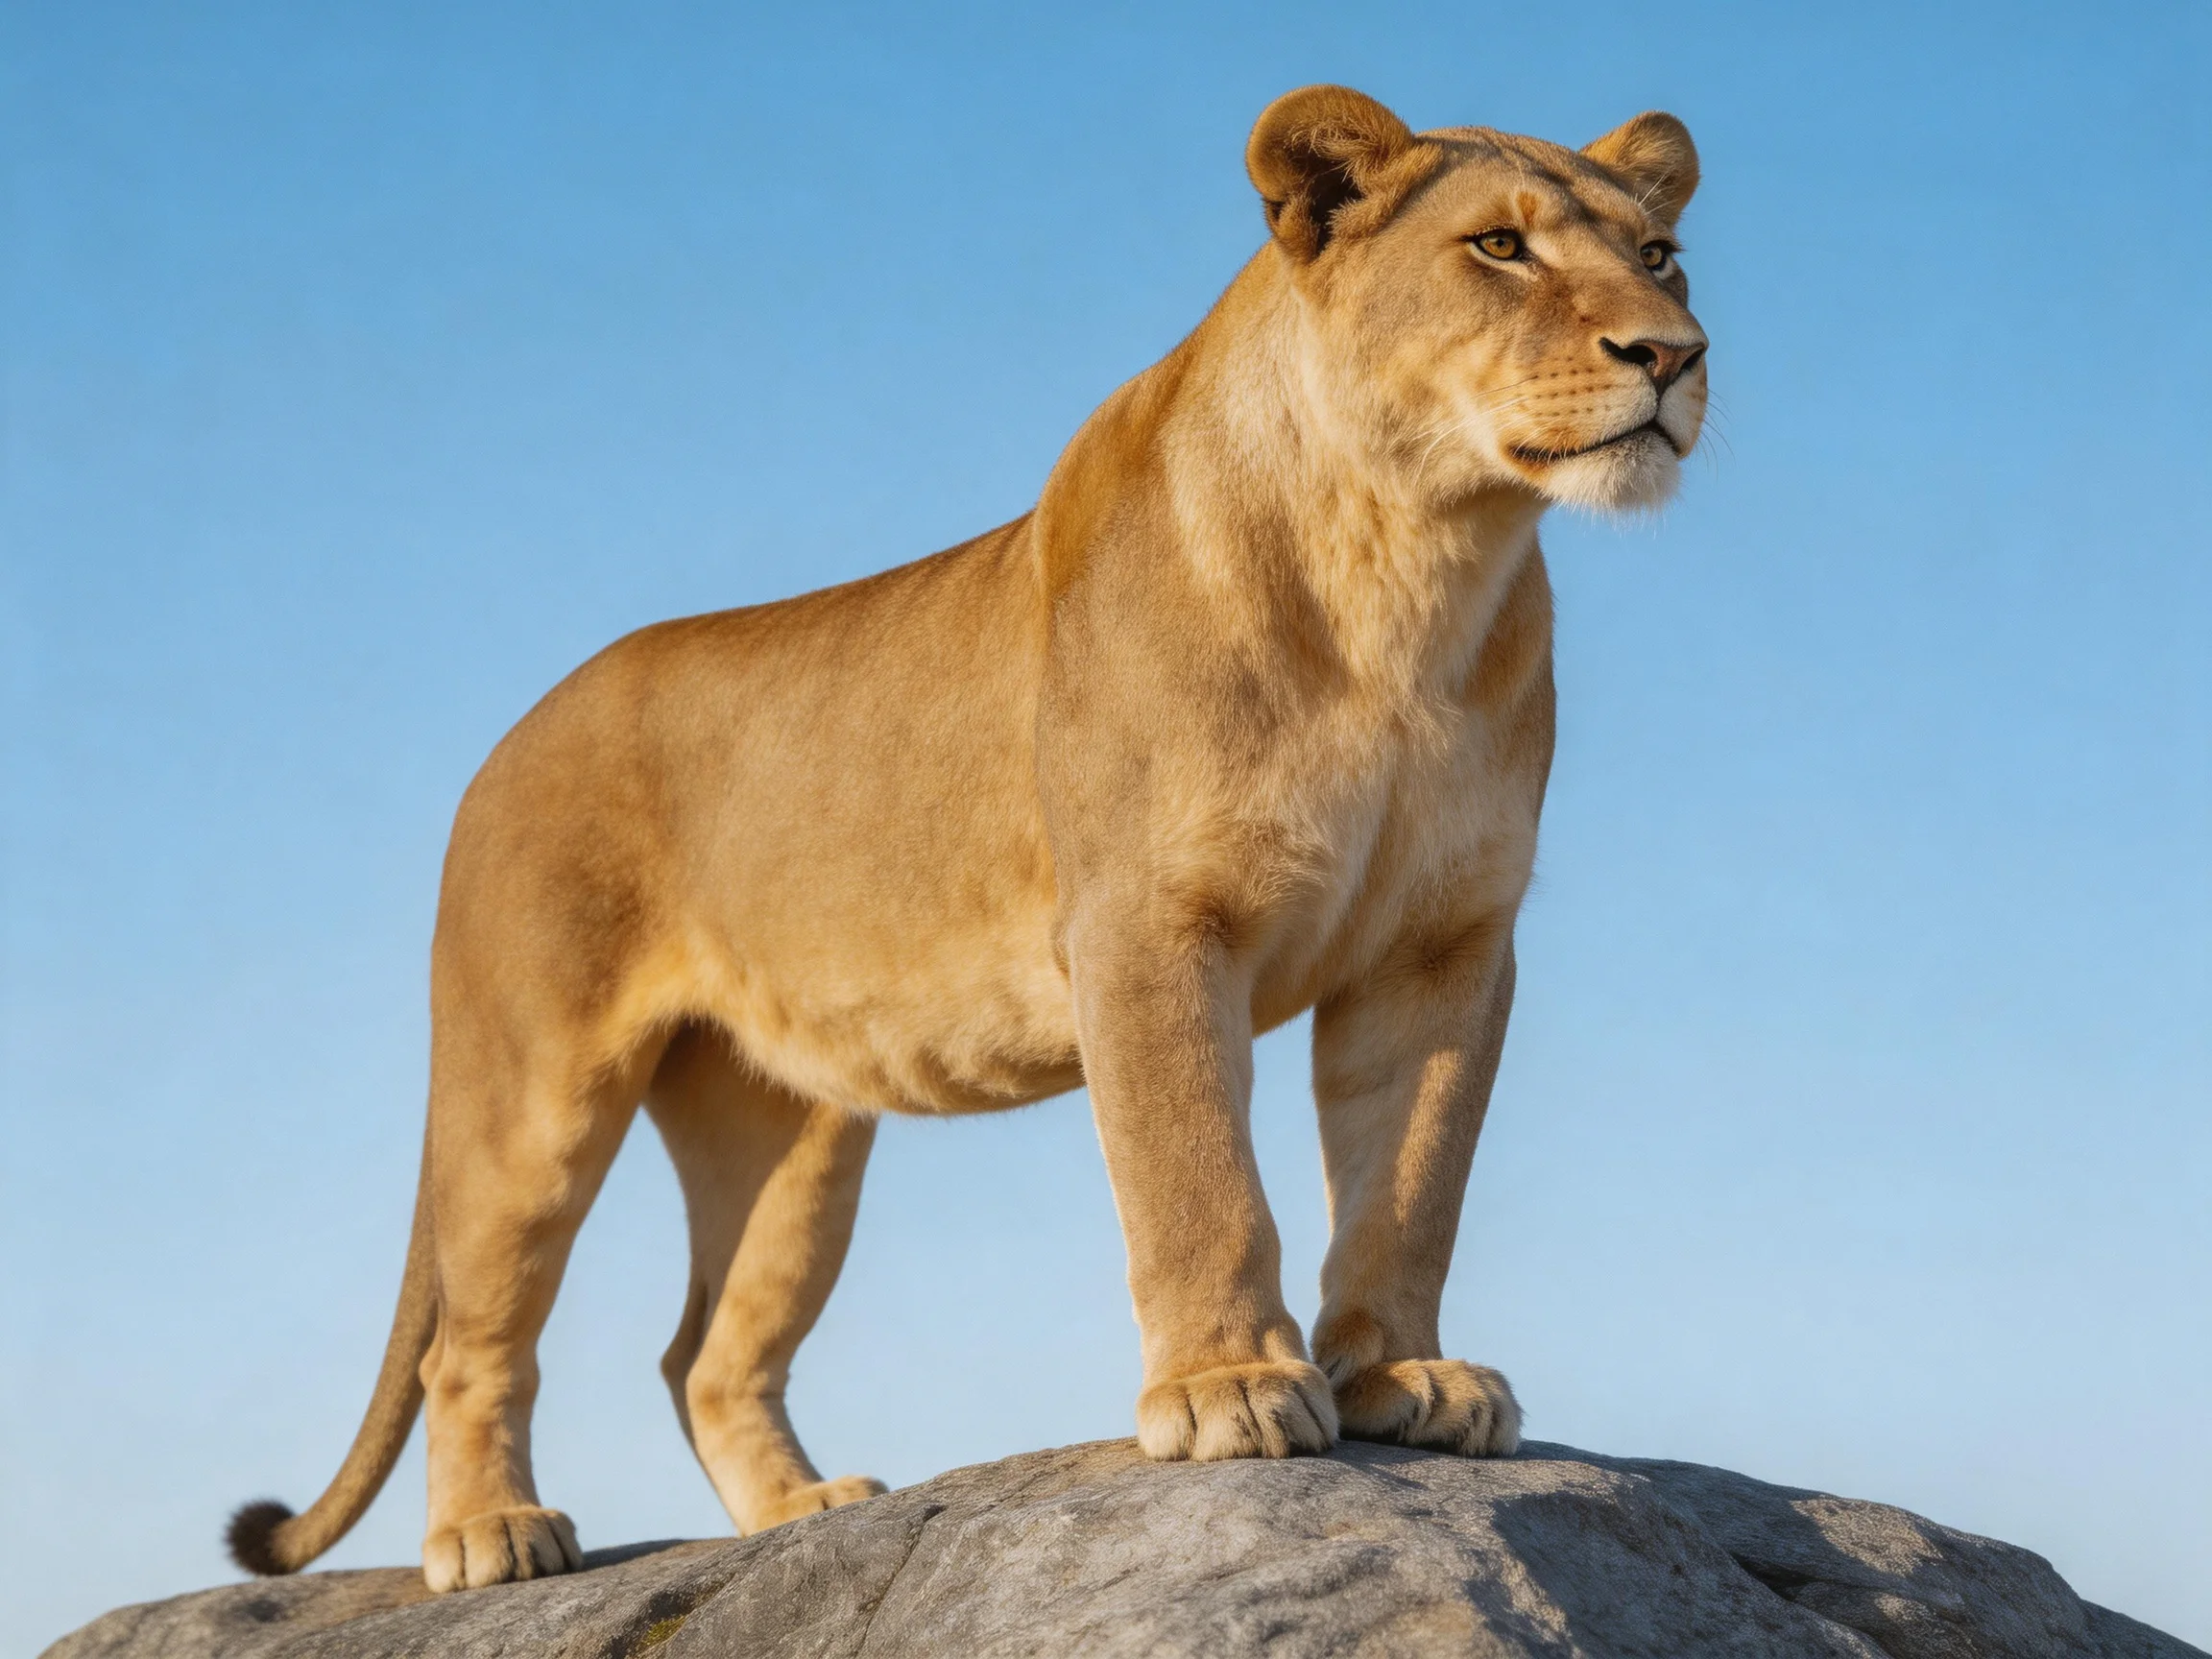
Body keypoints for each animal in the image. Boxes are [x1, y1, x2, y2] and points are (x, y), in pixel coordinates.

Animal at [226, 85, 1706, 1592]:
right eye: (1499, 248)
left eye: (1660, 257)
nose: (1673, 352)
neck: (1412, 566)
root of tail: (504, 742)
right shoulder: (1147, 923)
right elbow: (1195, 1169)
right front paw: (1226, 1386)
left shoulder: (1444, 945)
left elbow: (1409, 1182)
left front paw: (1405, 1380)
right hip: (531, 1091)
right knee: (479, 1340)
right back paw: (491, 1535)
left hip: (789, 1143)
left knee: (706, 1353)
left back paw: (806, 1516)